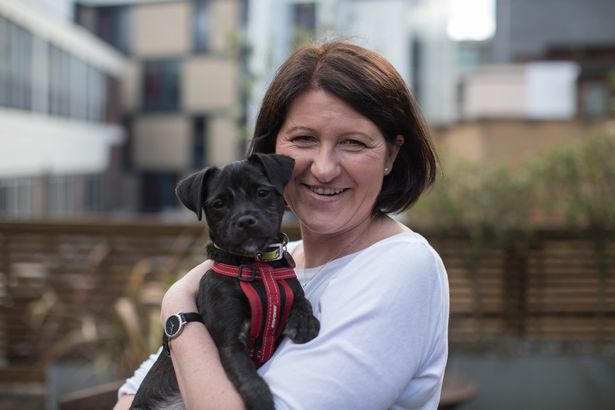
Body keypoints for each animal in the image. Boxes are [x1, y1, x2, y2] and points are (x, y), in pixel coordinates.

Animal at [131, 154, 322, 410]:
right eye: (219, 204)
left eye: (262, 192)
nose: (246, 221)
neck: (257, 267)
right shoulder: (230, 343)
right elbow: (252, 381)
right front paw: (263, 402)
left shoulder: (288, 292)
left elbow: (302, 299)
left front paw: (304, 321)